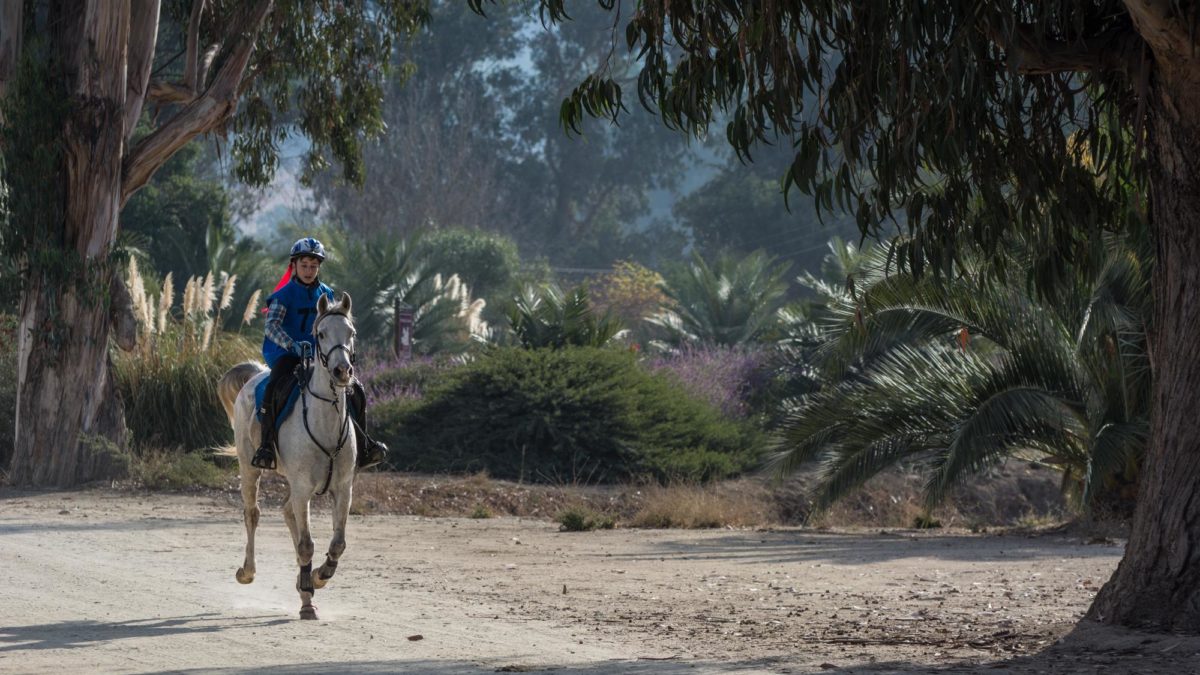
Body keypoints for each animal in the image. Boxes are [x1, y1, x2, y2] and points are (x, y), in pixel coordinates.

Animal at [218, 289, 355, 614]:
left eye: (351, 333)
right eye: (320, 334)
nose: (342, 371)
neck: (325, 424)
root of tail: (257, 375)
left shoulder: (343, 489)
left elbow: (337, 543)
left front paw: (318, 577)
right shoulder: (304, 488)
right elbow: (306, 544)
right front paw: (310, 590)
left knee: (286, 512)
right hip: (250, 467)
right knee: (252, 513)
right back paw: (248, 572)